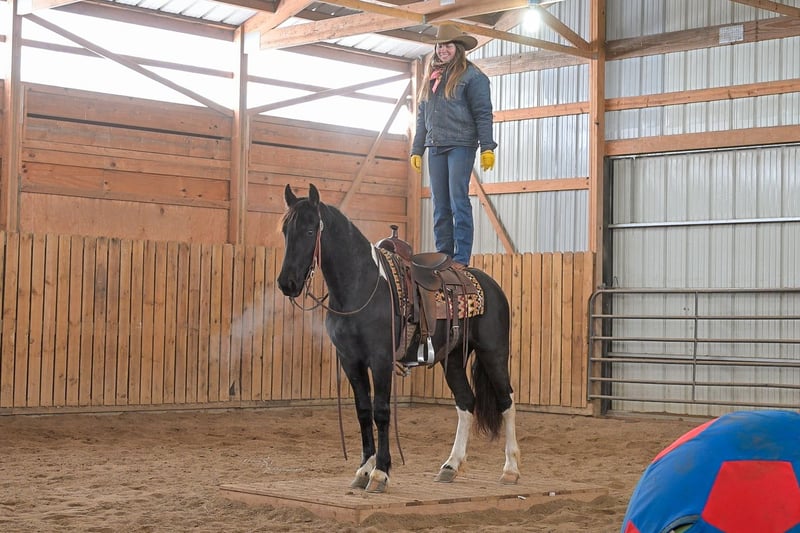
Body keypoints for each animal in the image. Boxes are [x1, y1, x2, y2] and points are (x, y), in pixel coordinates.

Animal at [277, 183, 520, 493]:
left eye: (309, 231)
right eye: (285, 231)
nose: (287, 283)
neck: (361, 285)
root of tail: (490, 285)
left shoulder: (380, 359)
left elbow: (381, 411)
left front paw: (380, 473)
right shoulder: (350, 360)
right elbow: (363, 411)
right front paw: (363, 470)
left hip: (493, 352)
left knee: (506, 401)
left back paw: (510, 469)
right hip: (452, 358)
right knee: (466, 401)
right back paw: (451, 466)